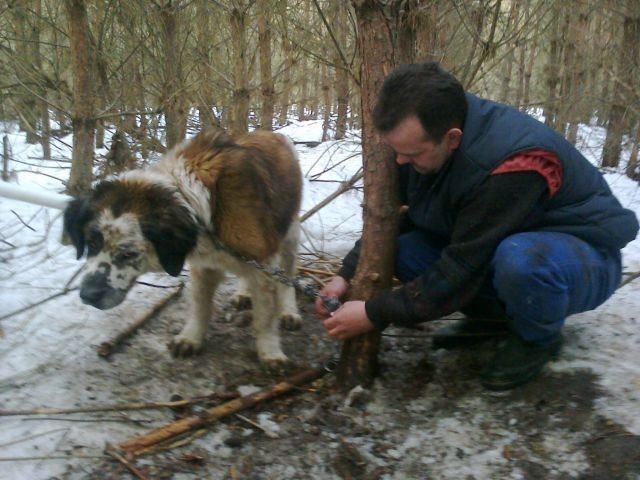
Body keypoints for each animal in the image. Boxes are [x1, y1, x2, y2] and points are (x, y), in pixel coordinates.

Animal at [63, 129, 304, 370]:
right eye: (92, 244)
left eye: (128, 253)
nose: (87, 295)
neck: (204, 213)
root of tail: (271, 133)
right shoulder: (204, 265)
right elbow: (200, 305)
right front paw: (192, 337)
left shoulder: (263, 267)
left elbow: (265, 318)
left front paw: (270, 351)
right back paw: (243, 292)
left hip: (289, 237)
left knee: (287, 277)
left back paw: (289, 310)